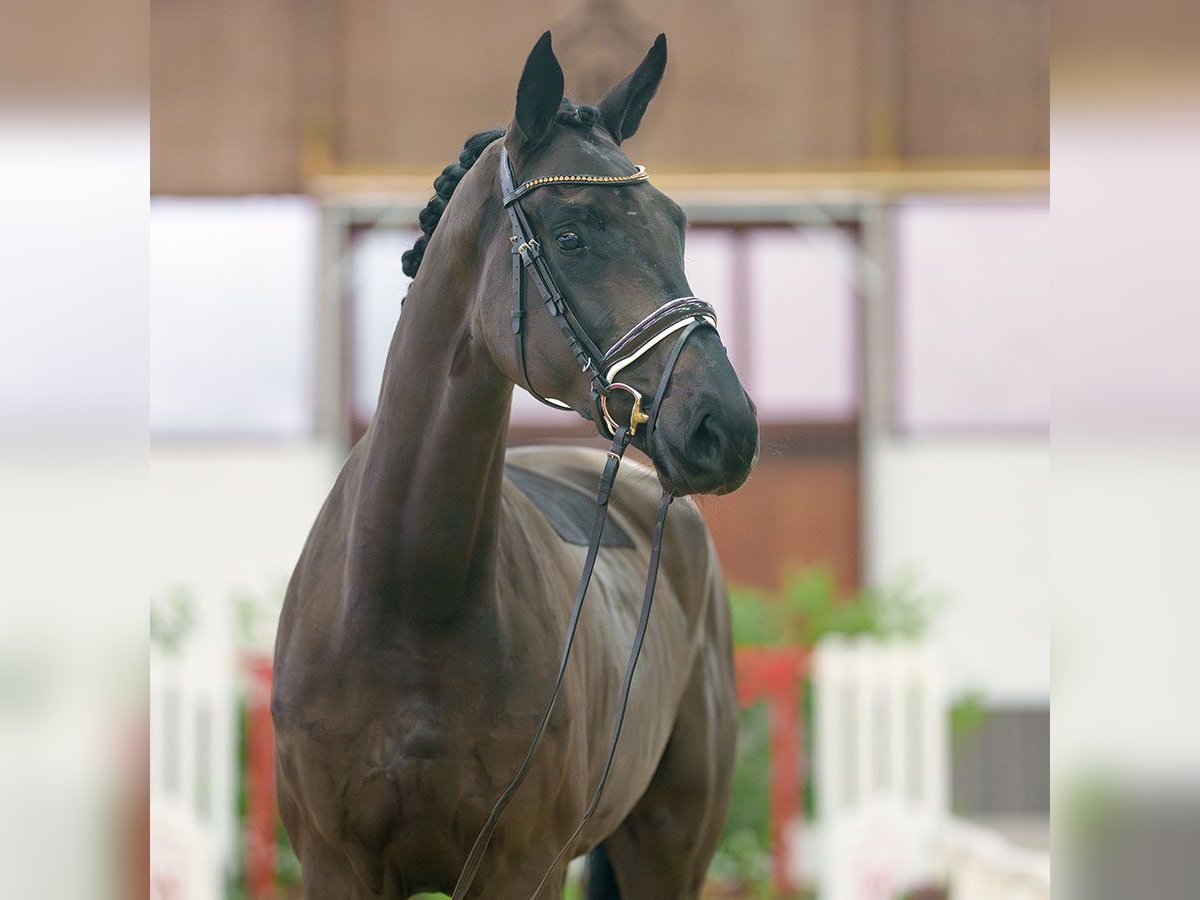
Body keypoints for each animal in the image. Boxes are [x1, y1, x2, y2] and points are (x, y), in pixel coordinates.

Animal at [273, 31, 758, 897]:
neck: (410, 595)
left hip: (671, 844)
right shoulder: (335, 863)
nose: (724, 426)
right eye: (572, 235)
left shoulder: (522, 864)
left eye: (676, 228)